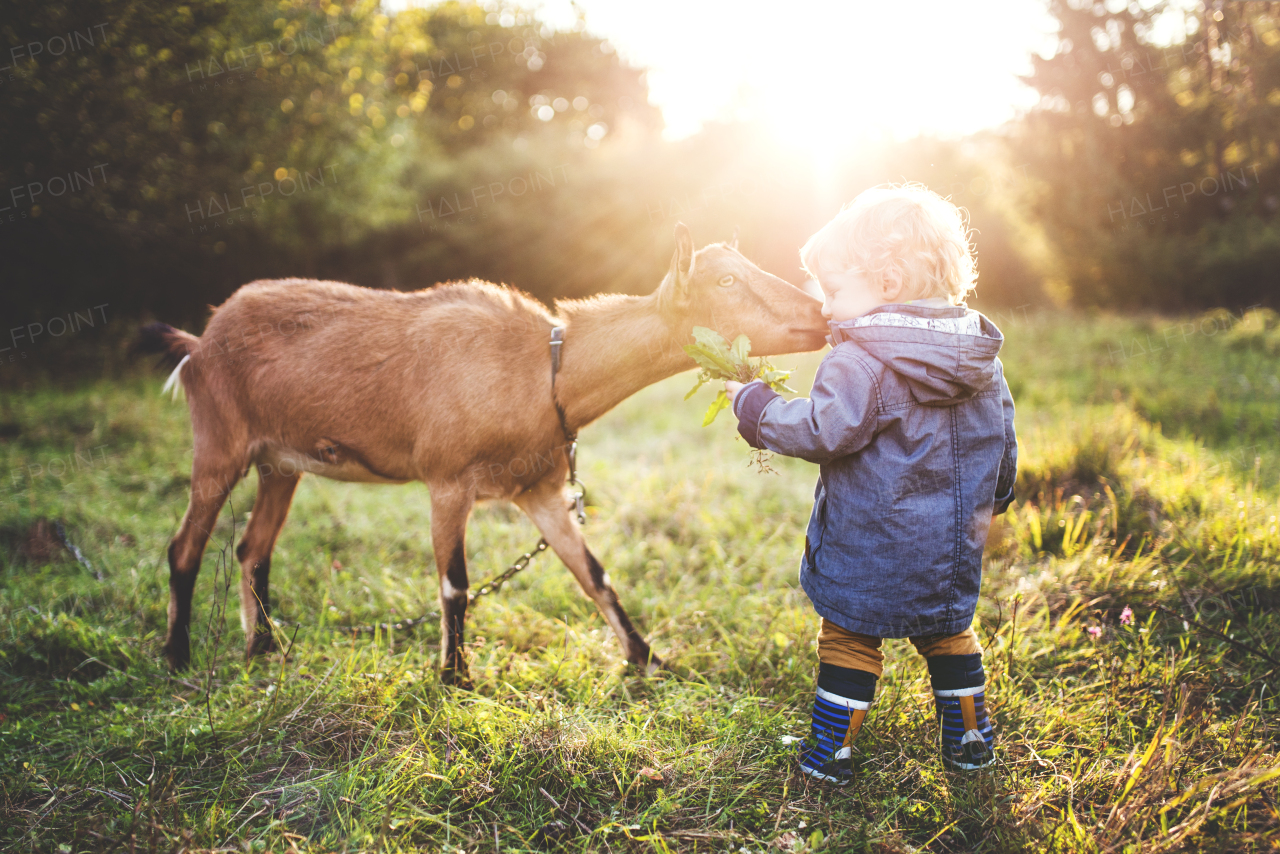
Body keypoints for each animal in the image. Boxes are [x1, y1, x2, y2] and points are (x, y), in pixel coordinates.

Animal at [137, 222, 819, 686]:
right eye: (725, 280)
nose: (817, 310)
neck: (542, 370)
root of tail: (200, 340)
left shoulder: (538, 489)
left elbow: (592, 572)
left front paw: (647, 658)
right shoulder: (447, 479)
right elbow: (455, 584)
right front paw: (455, 678)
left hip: (280, 462)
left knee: (252, 550)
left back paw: (264, 650)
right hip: (219, 440)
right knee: (185, 545)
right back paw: (177, 656)